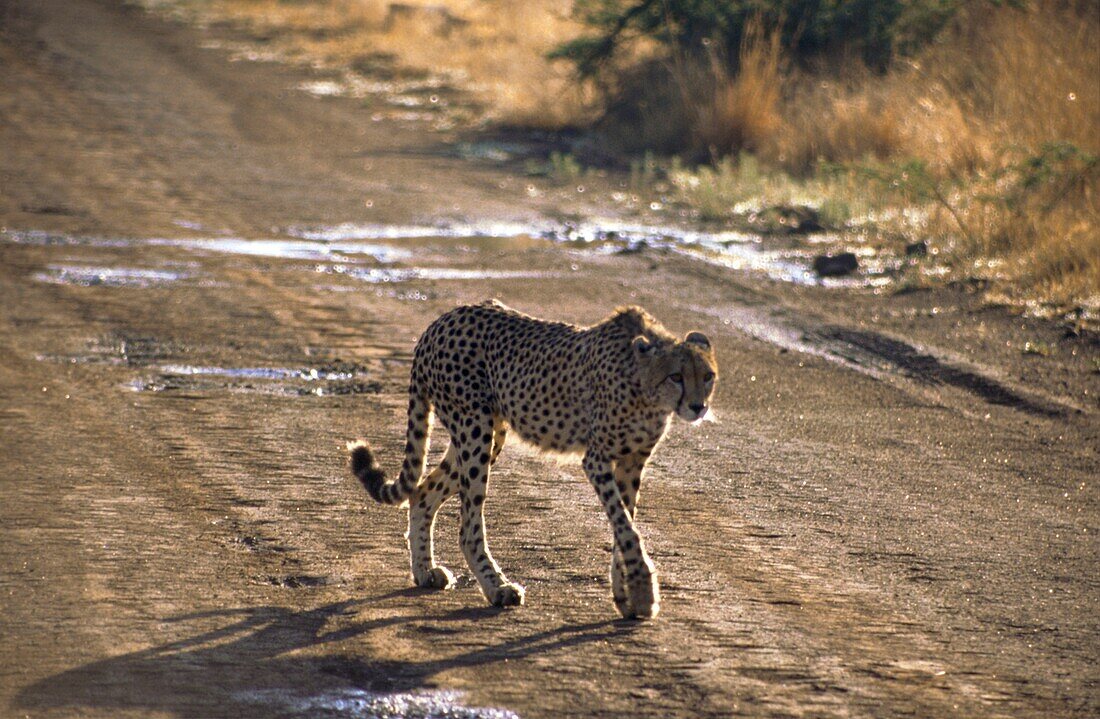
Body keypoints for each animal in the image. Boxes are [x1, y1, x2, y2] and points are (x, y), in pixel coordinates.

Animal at [347, 299, 717, 620]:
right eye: (677, 376)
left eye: (708, 376)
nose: (698, 406)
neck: (645, 385)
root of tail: (439, 322)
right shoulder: (597, 460)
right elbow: (627, 528)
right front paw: (642, 591)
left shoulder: (631, 462)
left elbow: (624, 526)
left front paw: (626, 596)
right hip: (474, 428)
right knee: (467, 527)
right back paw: (497, 588)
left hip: (489, 433)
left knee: (423, 493)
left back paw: (425, 572)